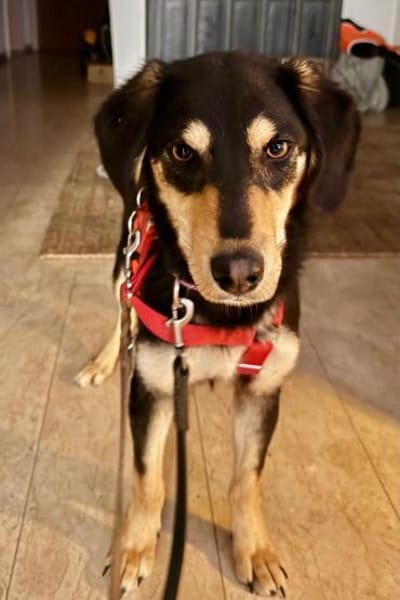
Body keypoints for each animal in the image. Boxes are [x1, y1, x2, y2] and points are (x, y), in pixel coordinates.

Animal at [76, 52, 360, 597]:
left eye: (278, 147)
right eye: (182, 151)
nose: (239, 274)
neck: (218, 313)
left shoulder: (262, 390)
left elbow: (246, 479)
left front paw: (255, 550)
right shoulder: (152, 388)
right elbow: (148, 478)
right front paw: (134, 547)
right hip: (126, 251)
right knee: (121, 305)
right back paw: (103, 360)